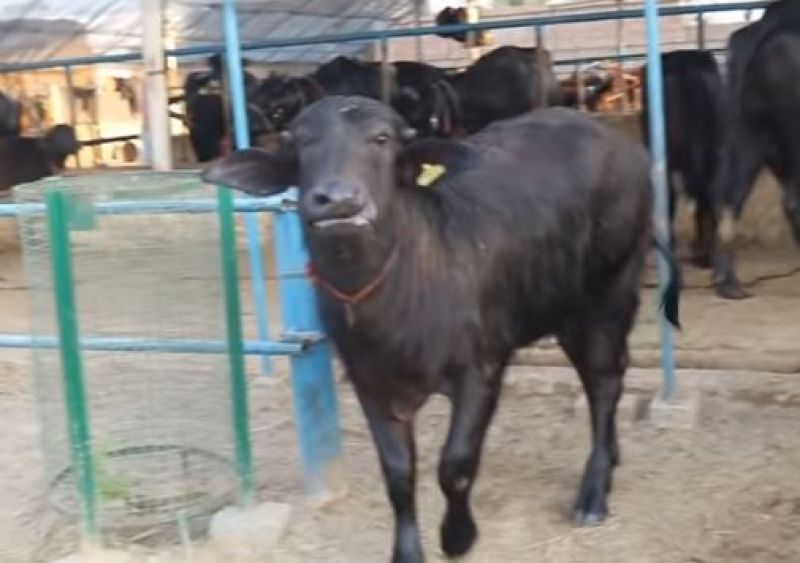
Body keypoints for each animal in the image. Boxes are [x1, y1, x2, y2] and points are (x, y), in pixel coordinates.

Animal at [203, 96, 680, 563]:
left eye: (381, 139)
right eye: (302, 142)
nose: (337, 200)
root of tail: (625, 147)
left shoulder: (481, 370)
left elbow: (456, 465)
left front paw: (457, 537)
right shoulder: (369, 384)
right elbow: (398, 476)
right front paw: (407, 553)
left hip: (607, 297)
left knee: (604, 383)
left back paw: (593, 494)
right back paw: (611, 460)